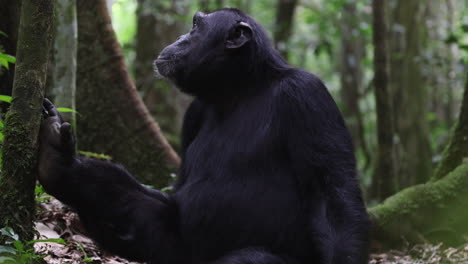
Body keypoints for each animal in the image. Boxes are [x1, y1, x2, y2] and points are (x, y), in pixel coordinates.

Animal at [38, 8, 370, 264]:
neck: (238, 90)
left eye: (196, 26)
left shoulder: (308, 97)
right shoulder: (193, 115)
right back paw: (58, 163)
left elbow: (332, 197)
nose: (180, 38)